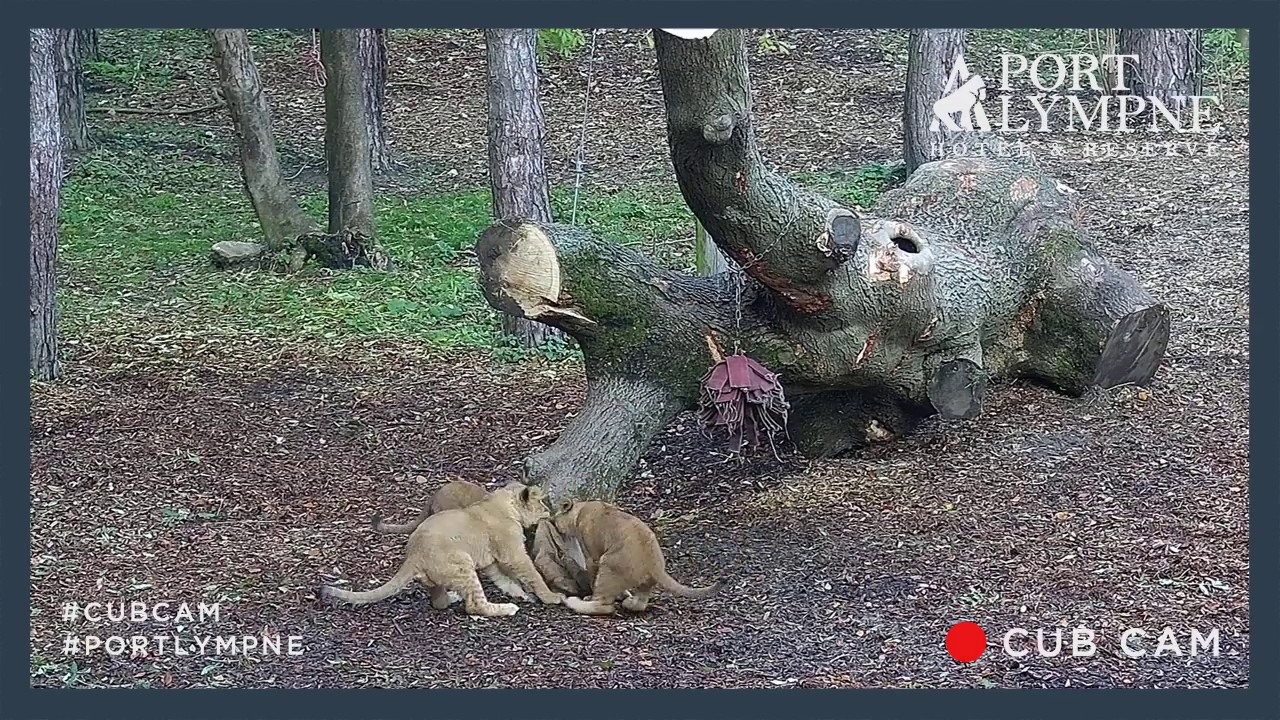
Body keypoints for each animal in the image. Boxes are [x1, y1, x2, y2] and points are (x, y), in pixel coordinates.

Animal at [321, 482, 566, 617]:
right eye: (541, 502)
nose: (551, 512)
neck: (503, 502)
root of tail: (414, 554)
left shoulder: (491, 561)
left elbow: (503, 579)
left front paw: (520, 593)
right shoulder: (512, 553)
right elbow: (532, 573)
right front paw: (551, 597)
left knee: (439, 602)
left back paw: (453, 597)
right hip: (462, 563)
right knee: (475, 605)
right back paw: (506, 609)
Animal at [551, 500, 728, 615]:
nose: (552, 522)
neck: (581, 509)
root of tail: (655, 564)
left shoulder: (592, 556)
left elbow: (591, 575)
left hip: (608, 566)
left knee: (604, 606)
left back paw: (575, 602)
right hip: (643, 581)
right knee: (641, 603)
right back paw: (629, 602)